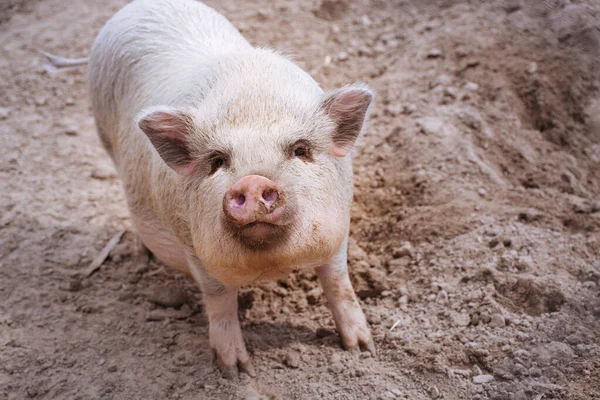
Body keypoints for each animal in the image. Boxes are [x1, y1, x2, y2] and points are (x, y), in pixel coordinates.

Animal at [88, 0, 376, 378]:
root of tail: (137, 6)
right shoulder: (192, 246)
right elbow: (219, 299)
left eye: (301, 150)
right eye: (217, 160)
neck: (270, 263)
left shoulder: (339, 227)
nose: (253, 181)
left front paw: (362, 348)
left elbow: (338, 282)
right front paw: (236, 371)